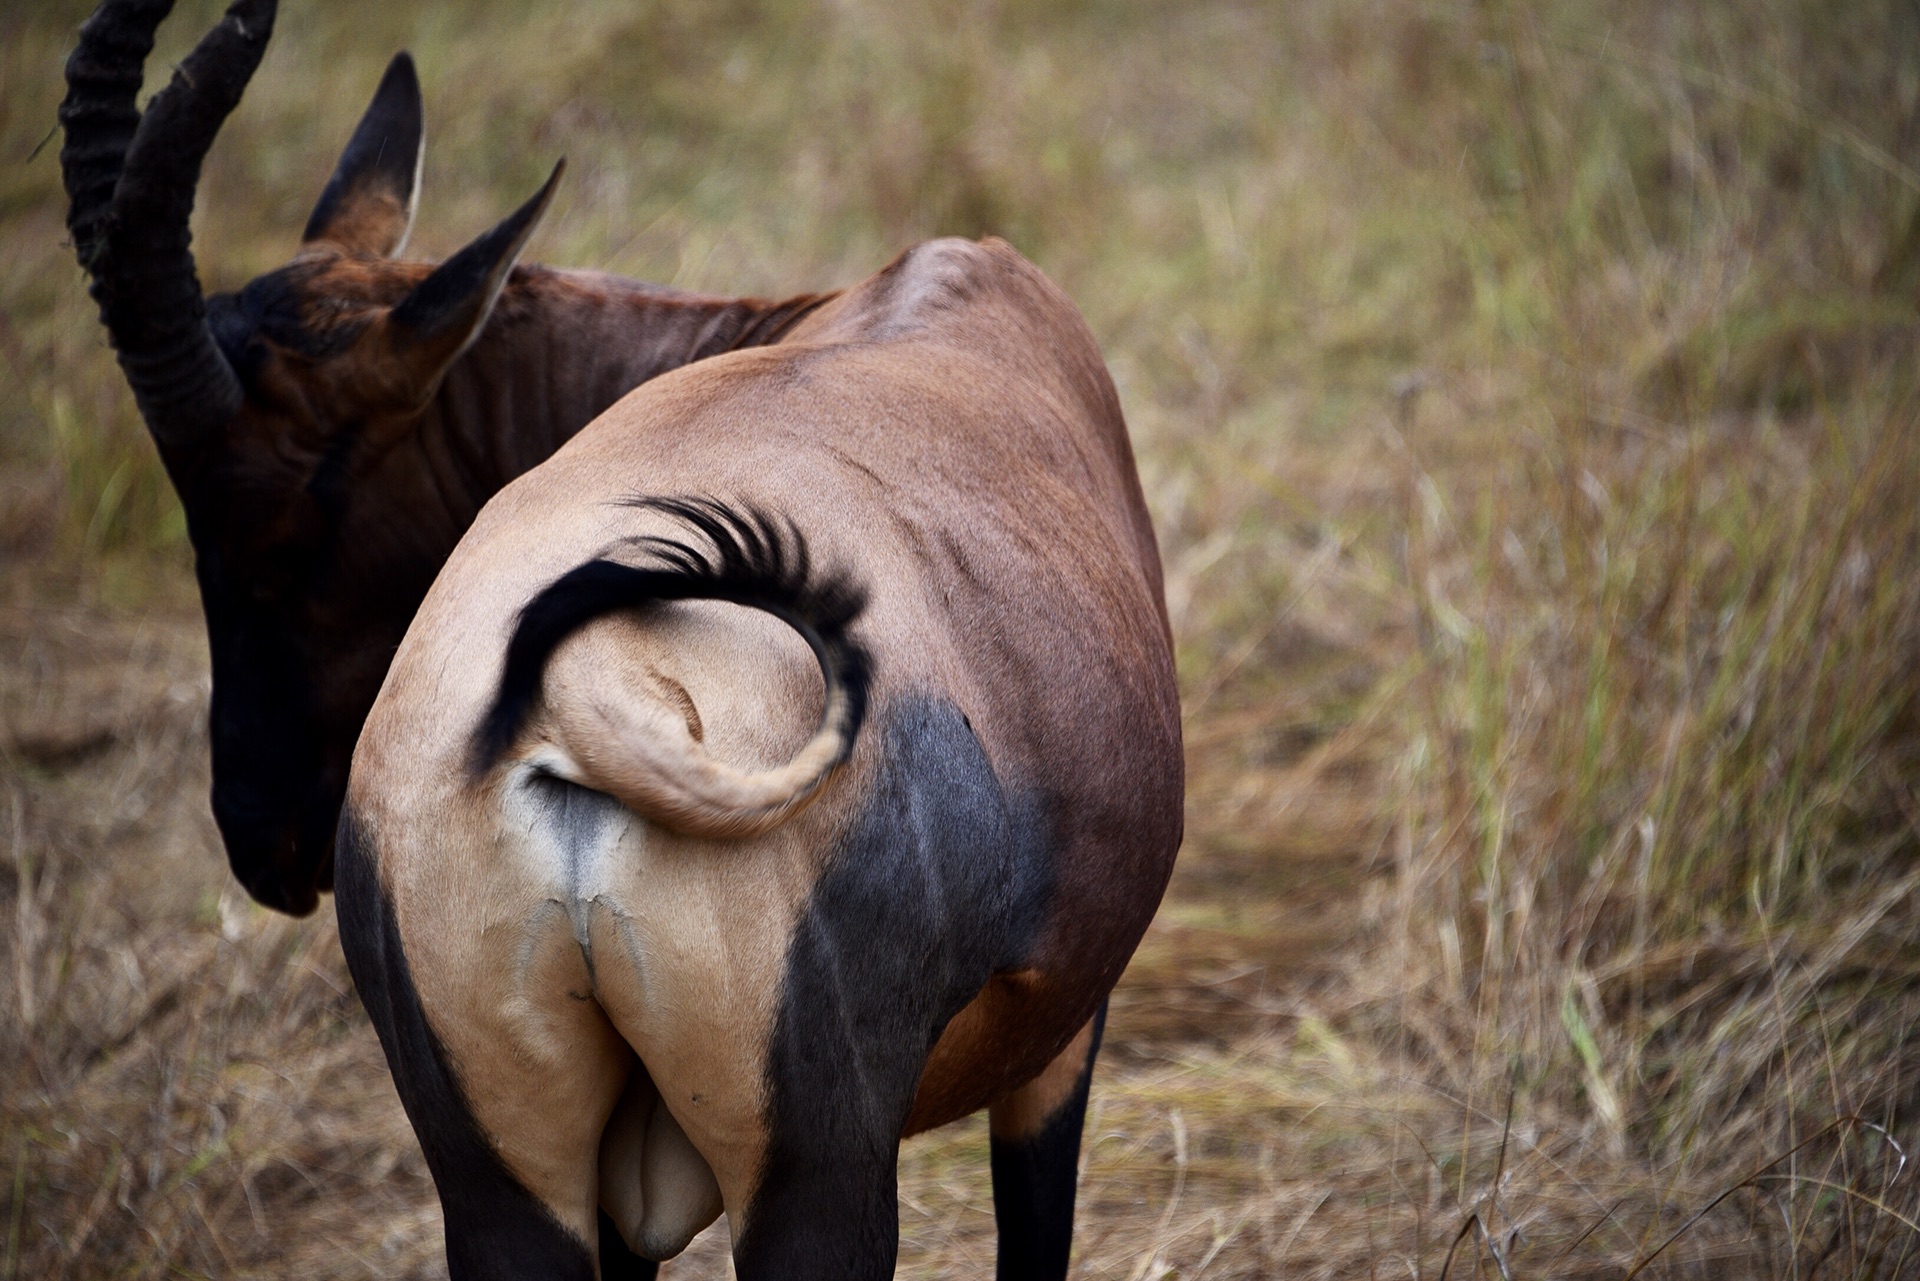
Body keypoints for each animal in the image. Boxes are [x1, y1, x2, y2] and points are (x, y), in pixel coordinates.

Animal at [63, 2, 1182, 1281]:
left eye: (285, 524)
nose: (260, 839)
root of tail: (593, 698)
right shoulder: (1061, 1041)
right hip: (818, 1183)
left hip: (503, 1189)